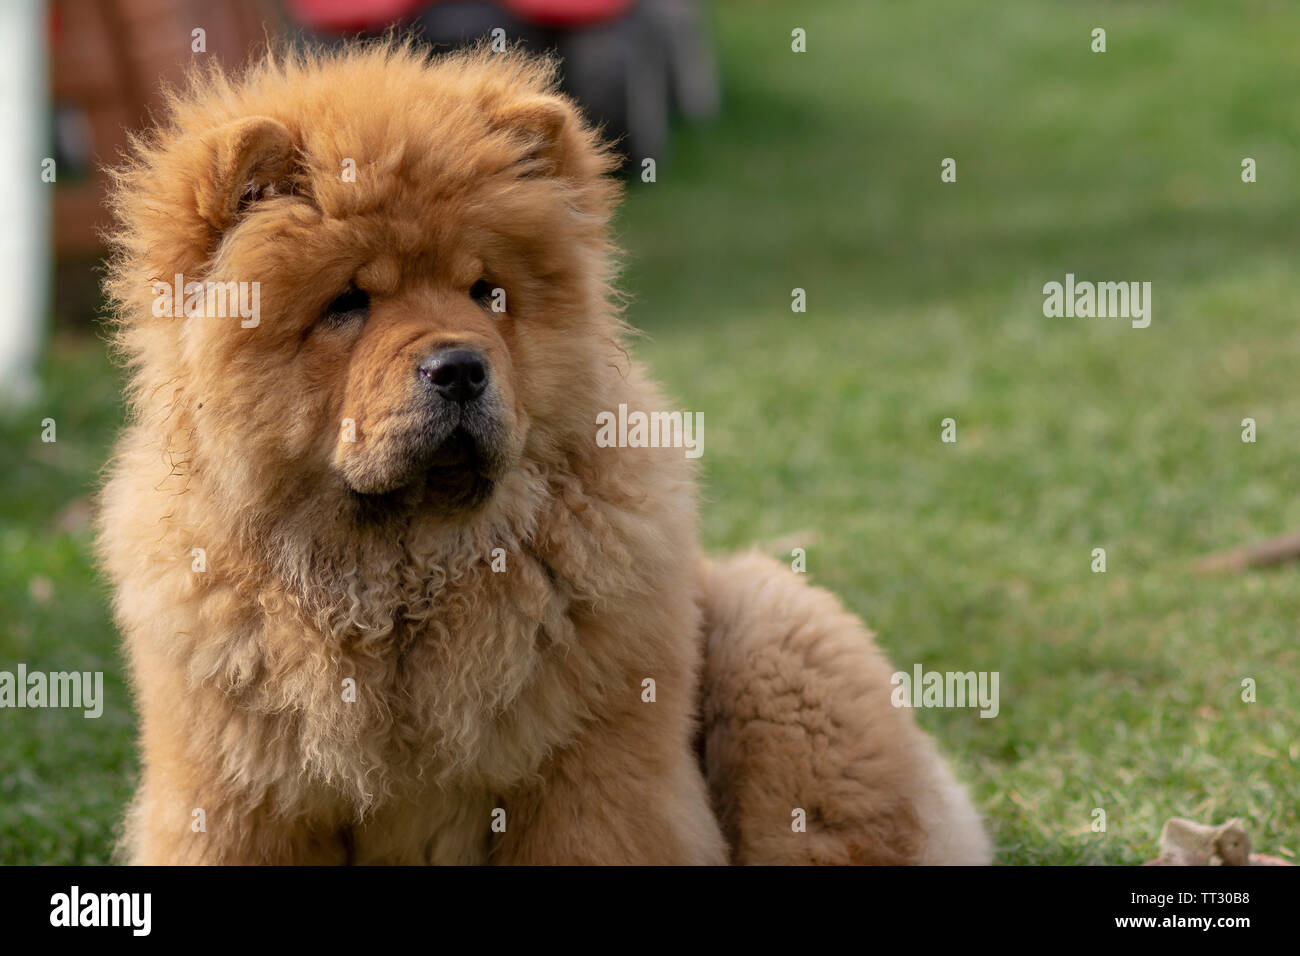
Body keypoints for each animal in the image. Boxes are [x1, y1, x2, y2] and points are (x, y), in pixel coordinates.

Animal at [101, 42, 987, 868]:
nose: (460, 368)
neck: (404, 578)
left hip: (776, 645)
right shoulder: (241, 794)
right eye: (347, 304)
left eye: (486, 292)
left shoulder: (590, 771)